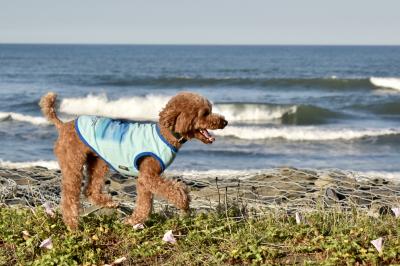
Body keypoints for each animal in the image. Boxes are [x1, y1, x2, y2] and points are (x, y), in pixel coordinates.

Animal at [41, 91, 228, 229]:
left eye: (210, 110)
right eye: (205, 113)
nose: (225, 122)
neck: (167, 134)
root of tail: (64, 125)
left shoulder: (147, 178)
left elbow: (146, 202)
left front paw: (134, 221)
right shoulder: (148, 175)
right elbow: (169, 190)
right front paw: (183, 201)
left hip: (98, 161)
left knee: (90, 189)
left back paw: (108, 203)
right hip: (73, 162)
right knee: (69, 197)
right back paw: (73, 226)